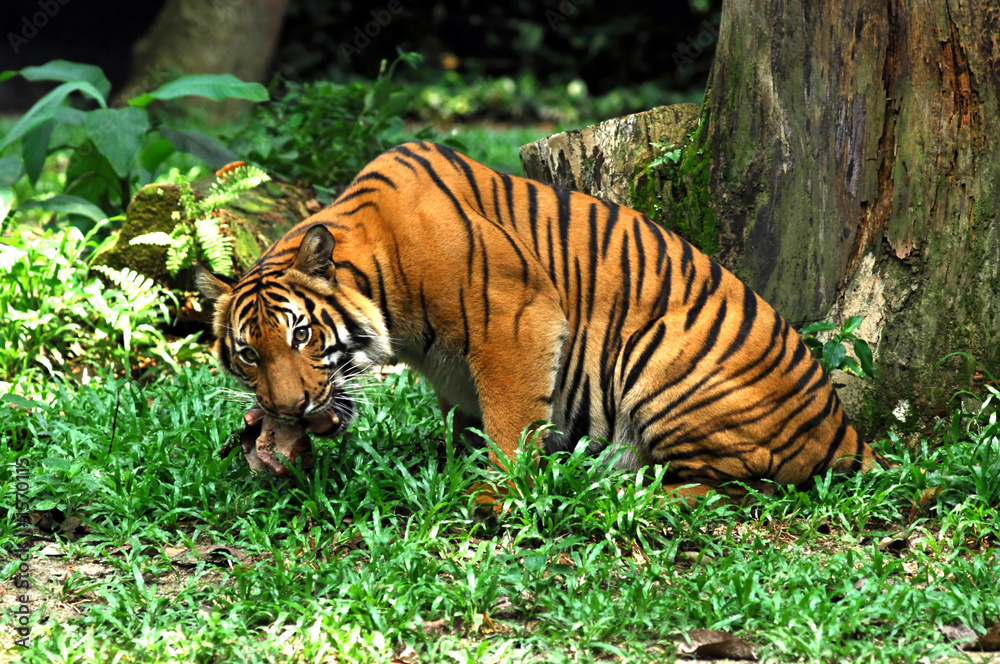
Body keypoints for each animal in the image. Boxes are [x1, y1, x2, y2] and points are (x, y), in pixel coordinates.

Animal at [195, 140, 888, 502]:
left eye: (302, 335)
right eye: (250, 353)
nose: (285, 409)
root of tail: (843, 427)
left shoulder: (516, 318)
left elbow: (508, 422)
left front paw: (494, 495)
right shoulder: (452, 369)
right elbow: (469, 419)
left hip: (664, 358)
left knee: (735, 483)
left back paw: (616, 491)